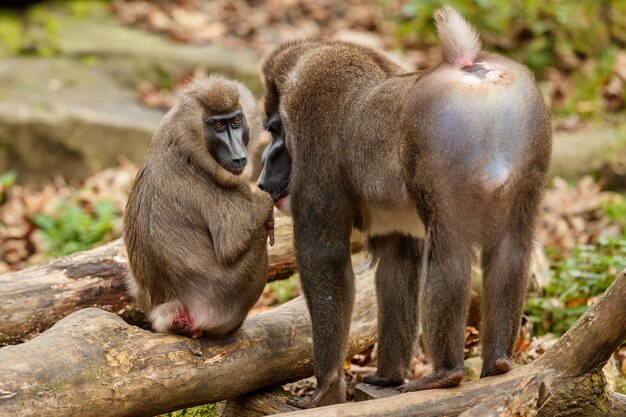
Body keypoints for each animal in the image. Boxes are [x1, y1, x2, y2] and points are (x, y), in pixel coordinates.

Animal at [124, 75, 272, 338]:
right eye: (219, 126)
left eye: (236, 121)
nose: (238, 155)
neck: (188, 140)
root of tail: (174, 309)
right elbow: (231, 246)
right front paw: (266, 206)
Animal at [256, 6, 548, 406]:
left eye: (274, 130)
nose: (263, 171)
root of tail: (467, 65)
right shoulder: (395, 233)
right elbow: (396, 269)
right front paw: (386, 376)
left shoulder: (312, 128)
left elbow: (325, 259)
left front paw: (326, 388)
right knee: (511, 253)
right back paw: (499, 363)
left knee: (449, 258)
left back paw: (445, 373)